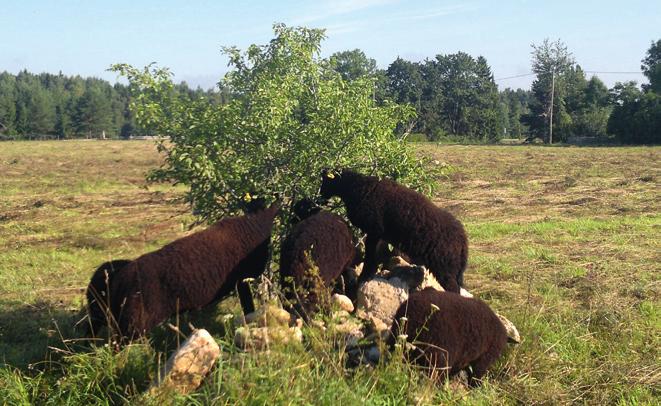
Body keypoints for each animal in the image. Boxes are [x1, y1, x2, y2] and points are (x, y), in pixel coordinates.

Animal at [318, 170, 464, 294]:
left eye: (325, 181)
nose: (319, 199)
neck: (357, 188)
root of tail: (463, 241)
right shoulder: (377, 235)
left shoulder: (374, 231)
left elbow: (370, 258)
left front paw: (364, 278)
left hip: (445, 268)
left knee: (454, 289)